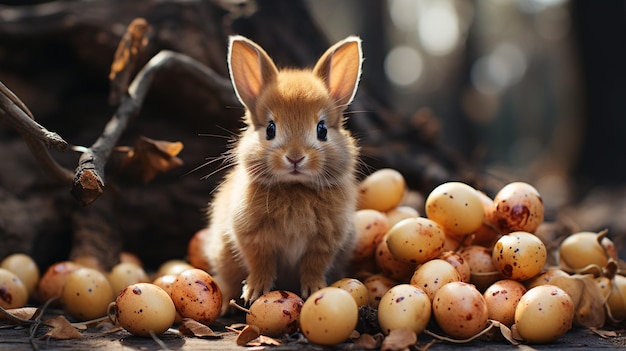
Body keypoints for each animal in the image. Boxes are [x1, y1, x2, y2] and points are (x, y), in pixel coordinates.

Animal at [202, 34, 364, 314]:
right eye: (270, 129)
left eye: (322, 129)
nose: (295, 157)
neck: (294, 187)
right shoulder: (253, 238)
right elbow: (261, 263)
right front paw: (255, 291)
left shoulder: (325, 242)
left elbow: (313, 265)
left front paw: (315, 289)